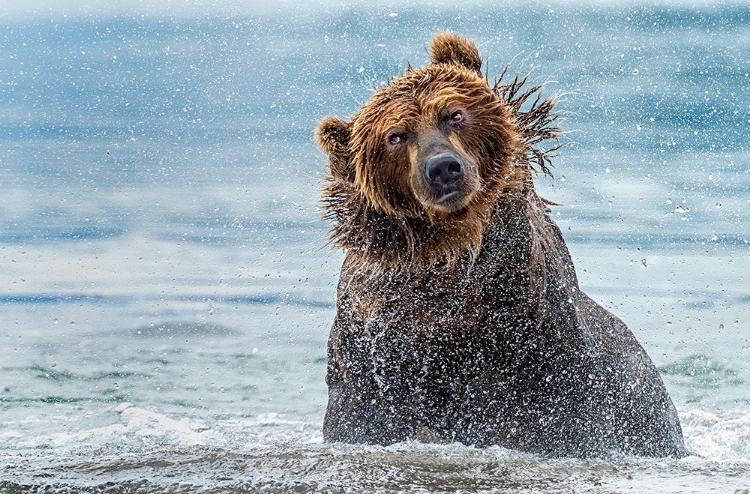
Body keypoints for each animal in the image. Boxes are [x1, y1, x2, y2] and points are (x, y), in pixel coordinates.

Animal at [314, 31, 692, 460]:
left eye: (454, 114)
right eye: (396, 136)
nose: (443, 168)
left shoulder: (539, 364)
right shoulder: (370, 357)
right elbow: (361, 417)